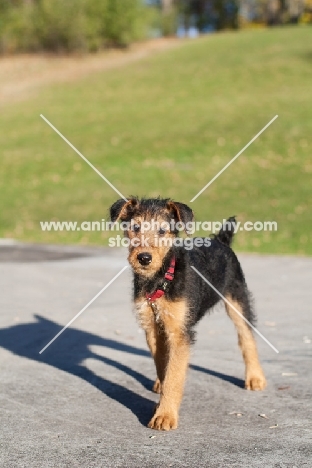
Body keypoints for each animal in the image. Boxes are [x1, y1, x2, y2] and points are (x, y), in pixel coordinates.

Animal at [109, 197, 266, 432]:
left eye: (162, 230)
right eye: (135, 228)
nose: (144, 258)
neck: (162, 278)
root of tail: (220, 241)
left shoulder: (179, 332)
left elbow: (174, 375)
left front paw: (164, 415)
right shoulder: (152, 327)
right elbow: (163, 364)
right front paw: (161, 400)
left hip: (237, 299)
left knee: (246, 337)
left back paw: (255, 377)